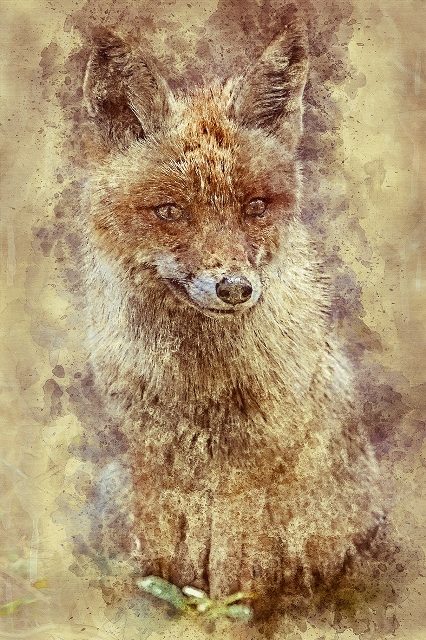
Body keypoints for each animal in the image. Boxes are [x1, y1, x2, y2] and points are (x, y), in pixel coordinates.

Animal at [78, 20, 384, 618]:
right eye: (171, 212)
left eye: (255, 207)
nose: (236, 288)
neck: (201, 387)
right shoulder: (154, 459)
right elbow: (164, 547)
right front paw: (170, 605)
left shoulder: (250, 471)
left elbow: (231, 561)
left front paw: (223, 612)